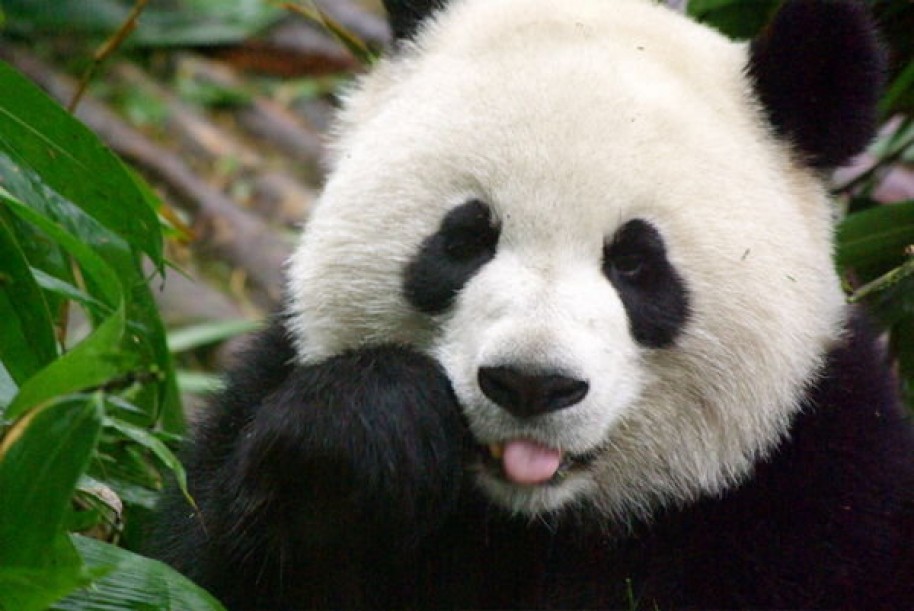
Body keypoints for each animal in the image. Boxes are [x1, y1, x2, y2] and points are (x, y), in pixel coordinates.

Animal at [153, 0, 914, 608]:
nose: (531, 383)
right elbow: (191, 560)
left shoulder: (825, 490)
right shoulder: (264, 386)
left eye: (635, 264)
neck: (532, 520)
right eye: (465, 238)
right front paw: (370, 434)